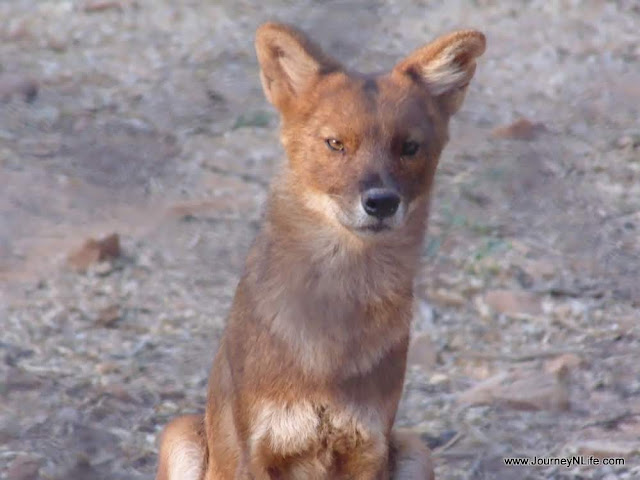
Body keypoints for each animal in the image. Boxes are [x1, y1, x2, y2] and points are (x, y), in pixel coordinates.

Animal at [156, 20, 484, 478]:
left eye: (409, 147)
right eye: (335, 143)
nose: (381, 201)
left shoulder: (369, 446)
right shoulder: (258, 449)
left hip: (415, 449)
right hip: (180, 434)